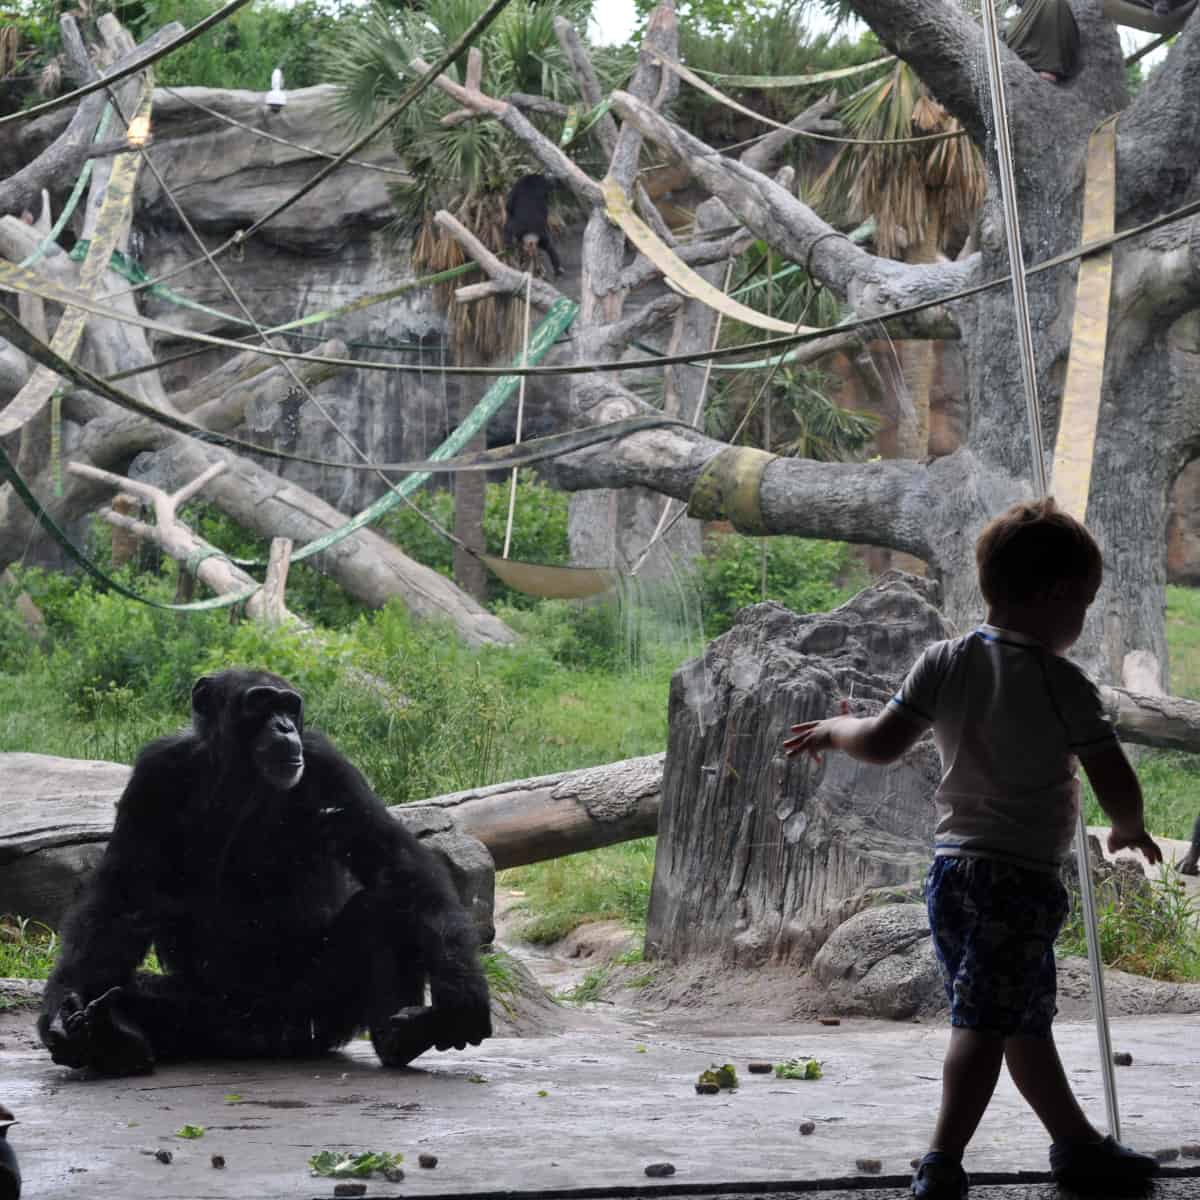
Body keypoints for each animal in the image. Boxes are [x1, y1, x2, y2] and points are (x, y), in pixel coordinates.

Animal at [38, 672, 487, 1075]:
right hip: (208, 1016)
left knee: (386, 903)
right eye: (261, 703)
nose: (284, 726)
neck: (239, 774)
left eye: (289, 706)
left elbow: (398, 861)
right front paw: (61, 1015)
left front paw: (461, 999)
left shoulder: (328, 763)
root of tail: (259, 1041)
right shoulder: (154, 772)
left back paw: (403, 1036)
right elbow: (121, 893)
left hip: (314, 1014)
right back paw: (111, 1038)